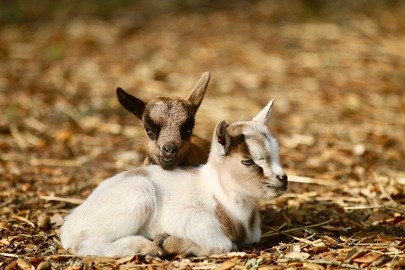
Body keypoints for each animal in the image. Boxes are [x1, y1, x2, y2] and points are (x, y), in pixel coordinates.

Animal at [60, 100, 288, 256]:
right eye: (247, 161)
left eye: (276, 154)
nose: (283, 179)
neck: (220, 194)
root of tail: (70, 223)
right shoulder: (185, 216)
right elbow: (223, 244)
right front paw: (167, 242)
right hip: (136, 197)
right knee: (86, 244)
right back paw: (146, 247)